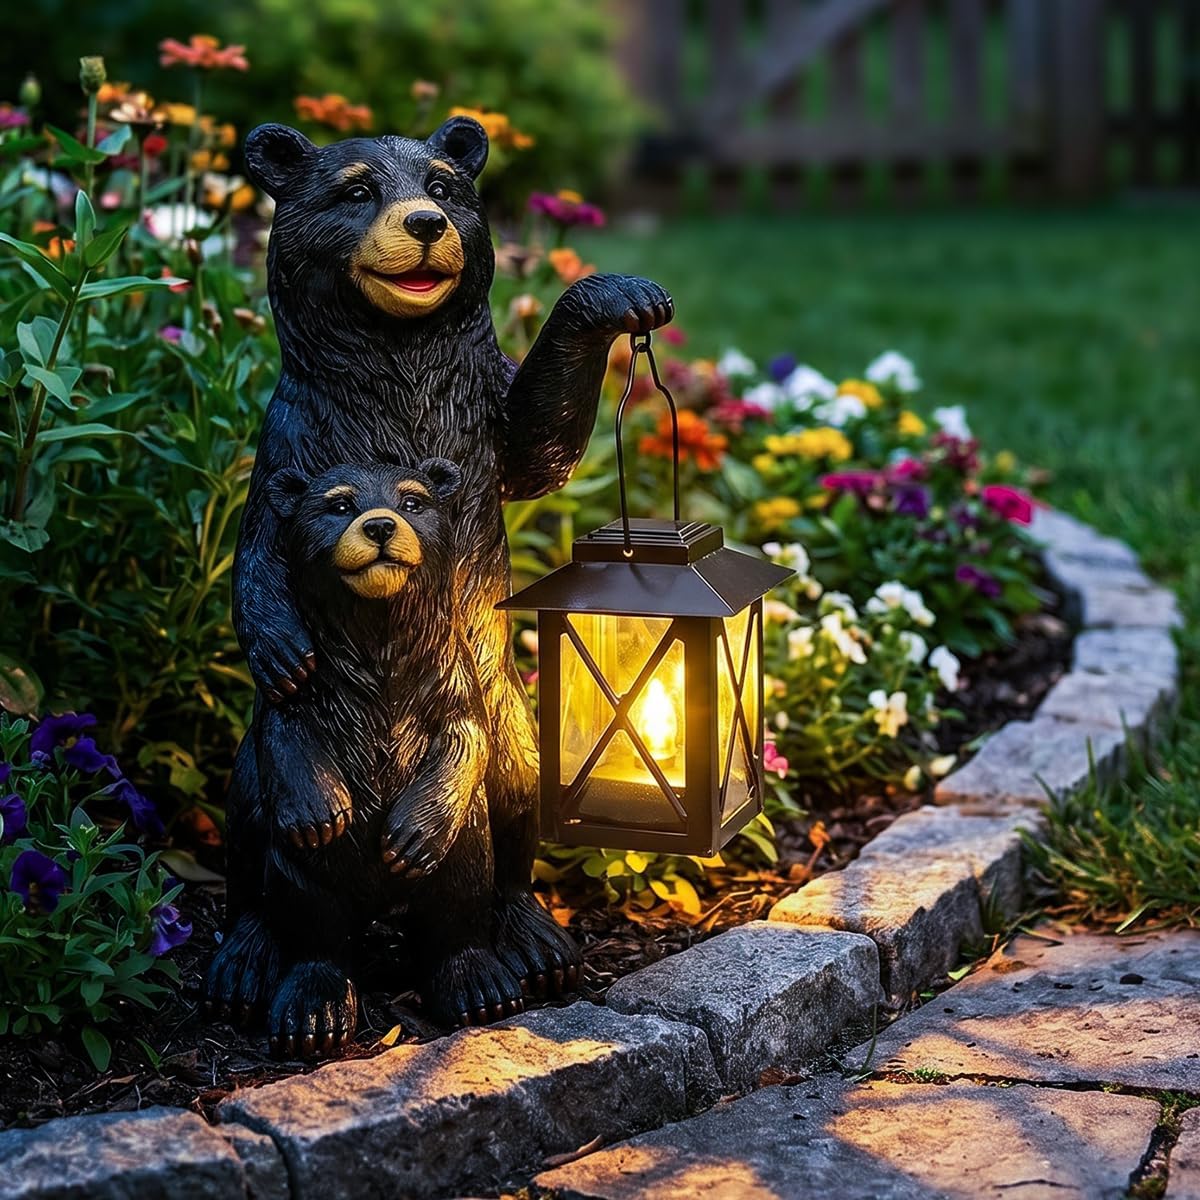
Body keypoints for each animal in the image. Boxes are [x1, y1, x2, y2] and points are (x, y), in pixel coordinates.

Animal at [207, 458, 533, 1053]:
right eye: (338, 504)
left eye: (413, 502)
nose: (380, 525)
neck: (378, 656)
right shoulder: (297, 690)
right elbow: (283, 732)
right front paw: (322, 811)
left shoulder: (454, 681)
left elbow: (467, 736)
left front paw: (410, 833)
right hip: (289, 866)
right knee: (313, 928)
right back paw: (304, 1007)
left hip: (468, 848)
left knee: (456, 905)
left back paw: (480, 988)